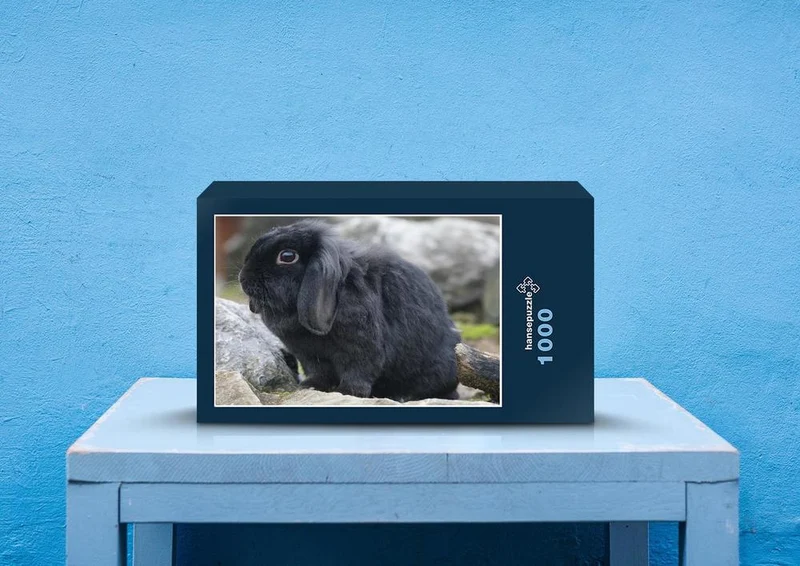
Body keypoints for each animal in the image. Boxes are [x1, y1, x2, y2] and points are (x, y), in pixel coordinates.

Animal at [238, 219, 461, 401]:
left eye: (286, 256)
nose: (243, 277)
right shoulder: (307, 354)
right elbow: (318, 371)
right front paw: (310, 386)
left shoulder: (361, 347)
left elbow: (358, 371)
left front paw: (347, 392)